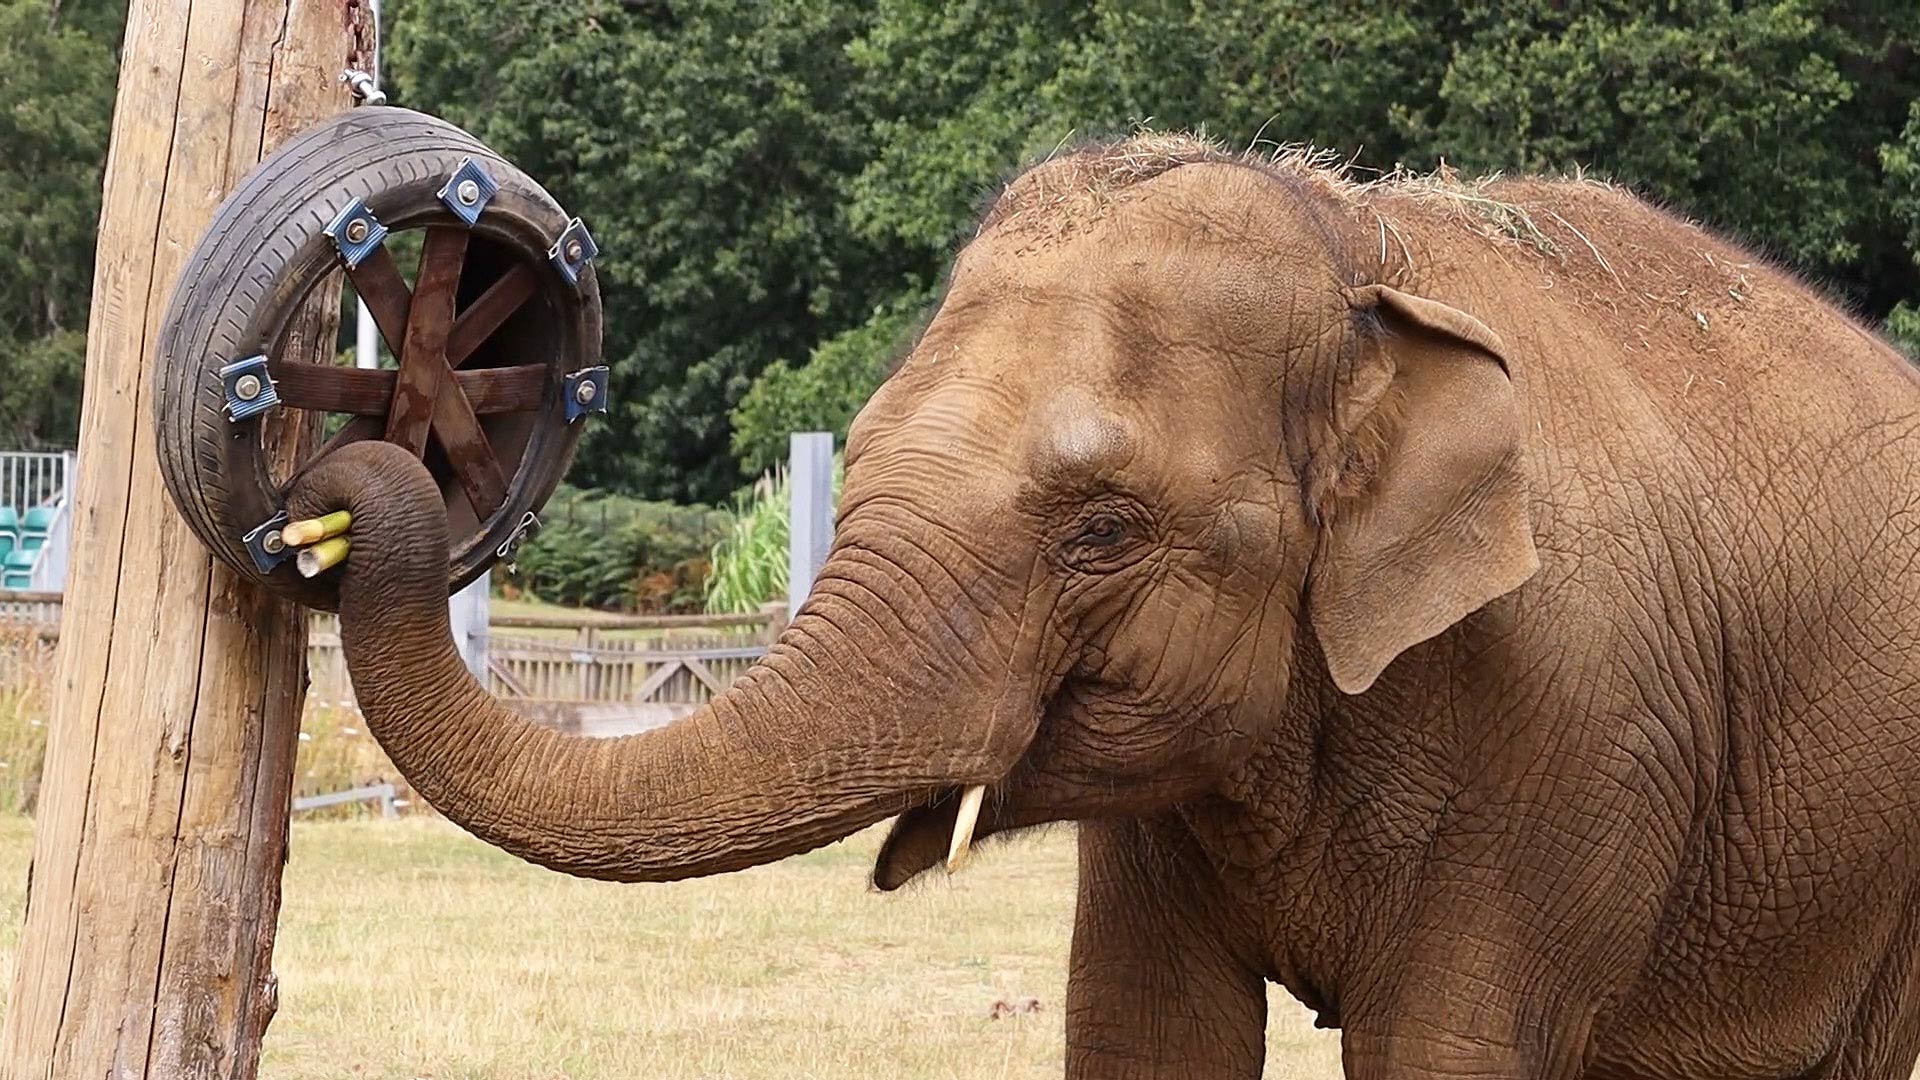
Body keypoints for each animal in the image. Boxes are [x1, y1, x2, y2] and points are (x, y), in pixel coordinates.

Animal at [290, 133, 1920, 1080]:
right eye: (858, 457)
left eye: (1103, 530)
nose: (360, 477)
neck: (1359, 252)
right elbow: (1146, 1031)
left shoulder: (1583, 726)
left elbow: (1450, 1044)